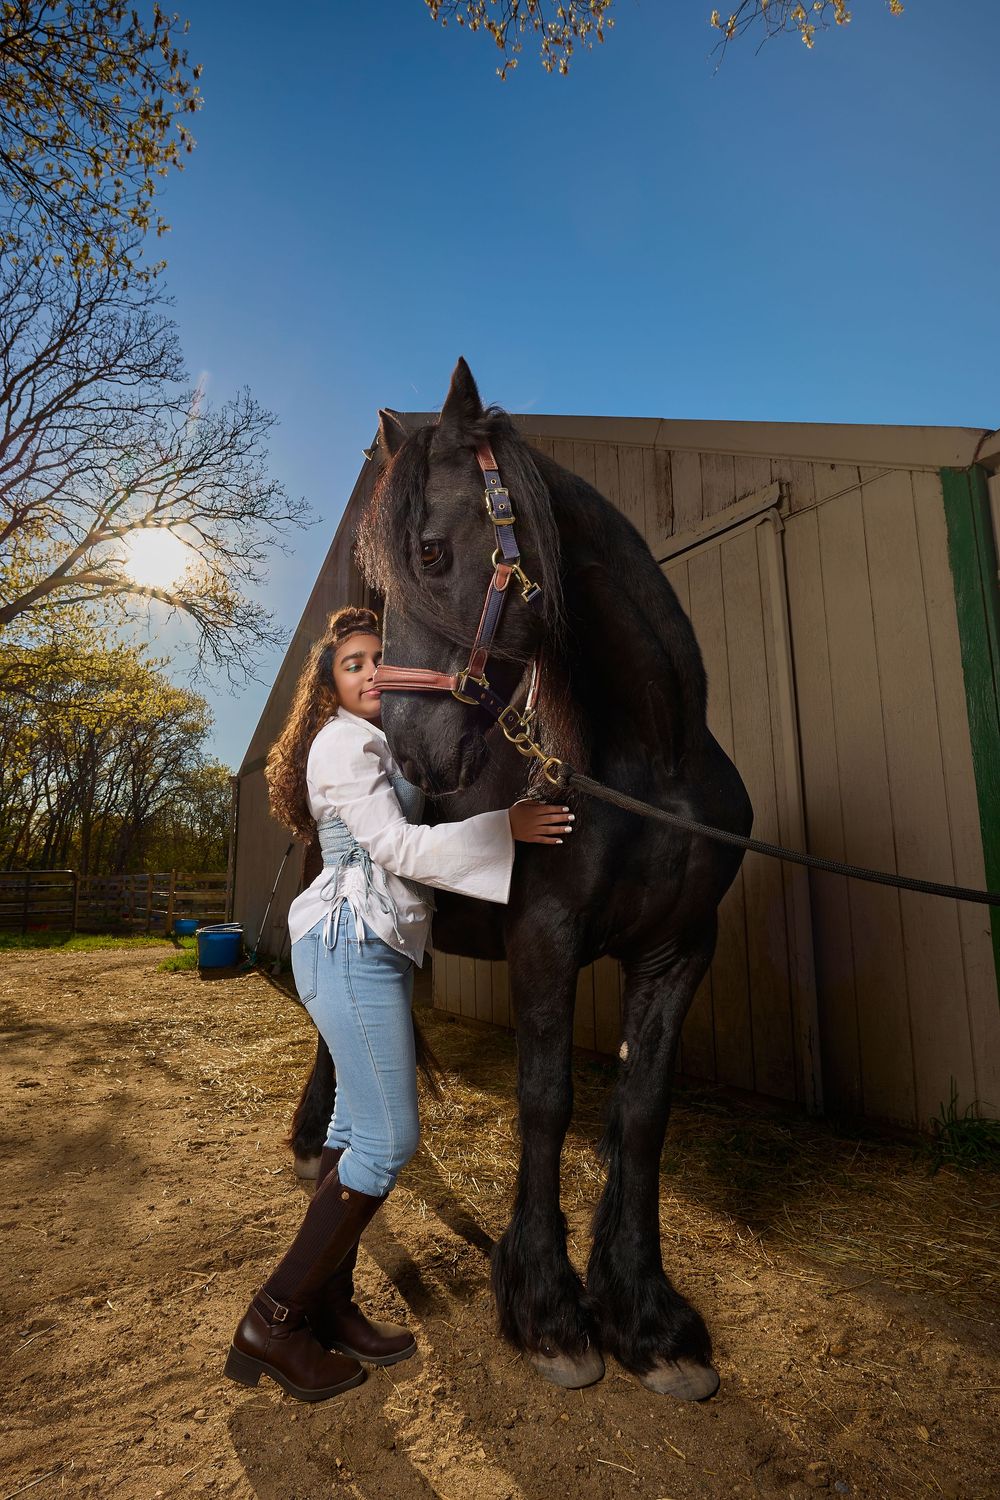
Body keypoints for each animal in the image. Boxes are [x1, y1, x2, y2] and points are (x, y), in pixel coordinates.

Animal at [289, 358, 753, 1400]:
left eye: (428, 553)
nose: (408, 752)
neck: (651, 763)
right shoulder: (545, 937)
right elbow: (547, 1101)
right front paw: (549, 1311)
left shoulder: (679, 953)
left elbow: (641, 1113)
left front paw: (649, 1320)